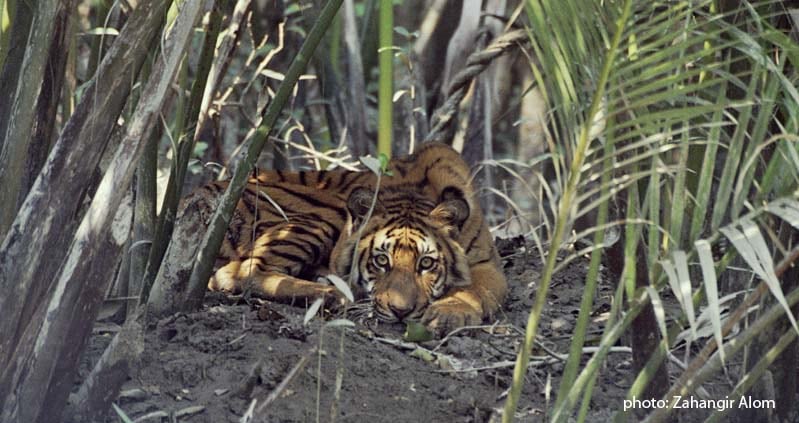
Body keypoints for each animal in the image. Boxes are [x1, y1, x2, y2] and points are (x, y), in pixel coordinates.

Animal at [193, 144, 506, 336]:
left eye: (426, 264)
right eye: (381, 260)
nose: (401, 312)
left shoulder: (486, 264)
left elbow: (475, 289)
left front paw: (449, 314)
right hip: (324, 212)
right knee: (238, 272)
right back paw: (332, 293)